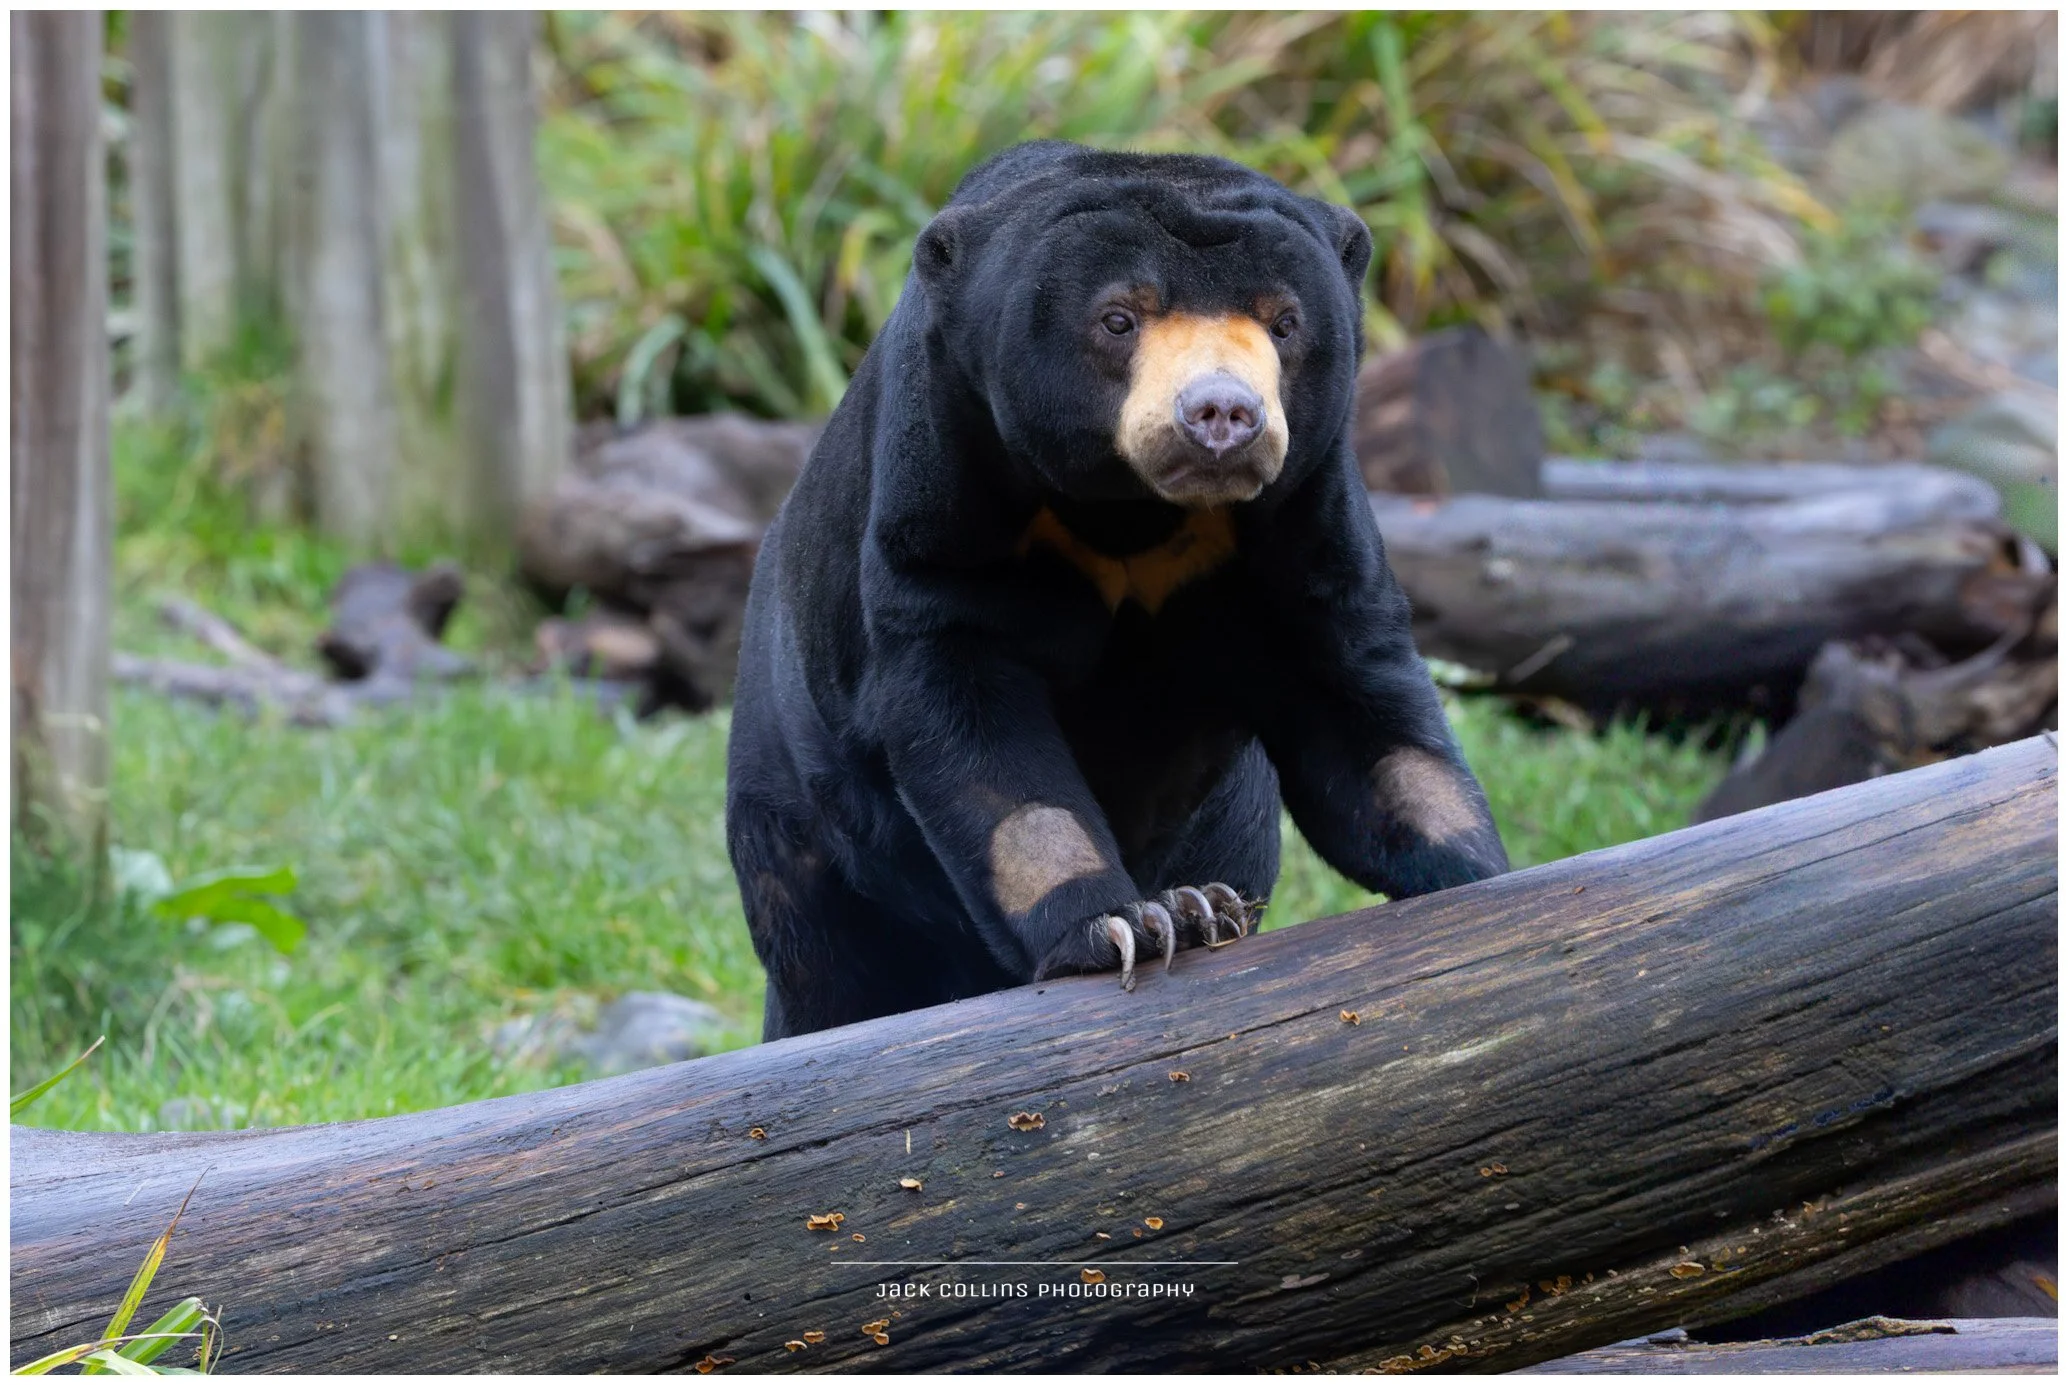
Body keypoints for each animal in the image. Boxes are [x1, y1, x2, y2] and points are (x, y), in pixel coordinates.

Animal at [726, 141, 1509, 1041]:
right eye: (1118, 319)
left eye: (1284, 323)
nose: (1223, 414)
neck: (1135, 513)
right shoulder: (944, 491)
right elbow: (976, 726)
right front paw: (1125, 925)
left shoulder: (1305, 515)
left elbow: (1360, 704)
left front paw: (1481, 872)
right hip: (797, 821)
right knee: (830, 960)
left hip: (1230, 813)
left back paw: (1208, 899)